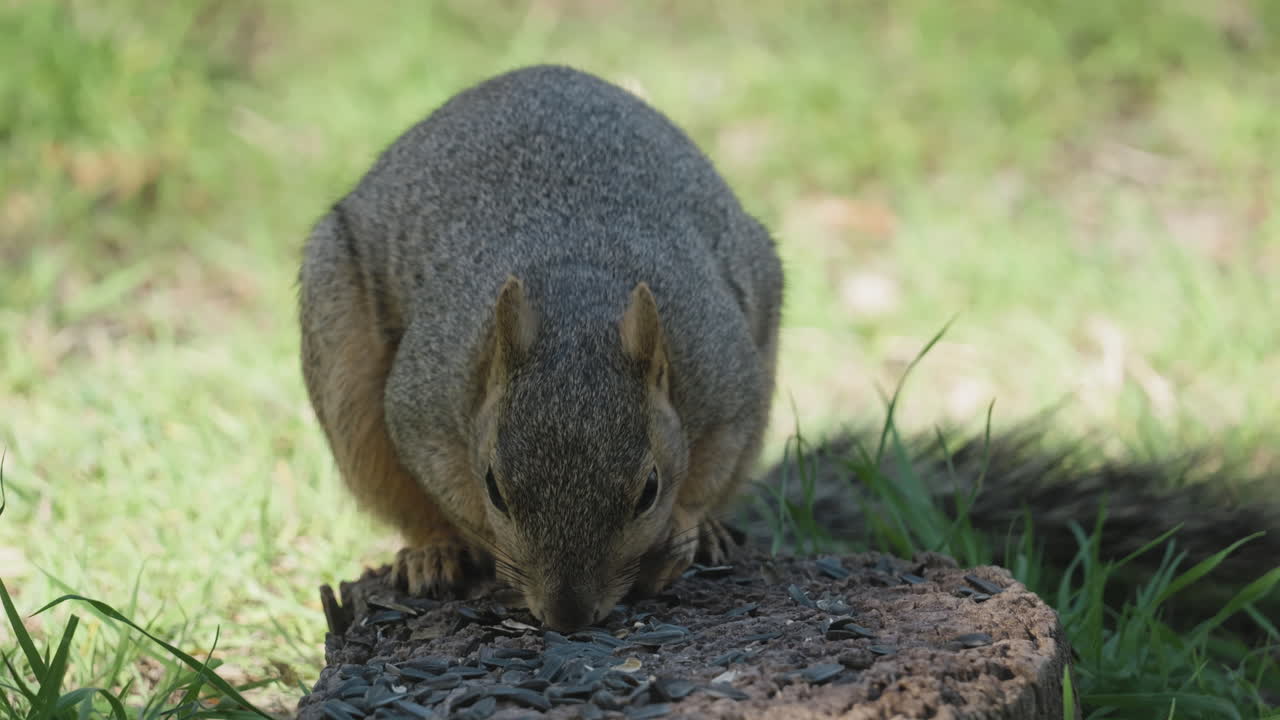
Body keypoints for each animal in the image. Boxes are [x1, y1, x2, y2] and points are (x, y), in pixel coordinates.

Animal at [299, 65, 782, 631]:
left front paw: (683, 534)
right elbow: (449, 489)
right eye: (494, 488)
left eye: (650, 490)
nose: (566, 616)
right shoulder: (427, 403)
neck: (577, 289)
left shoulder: (726, 379)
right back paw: (432, 555)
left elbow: (708, 472)